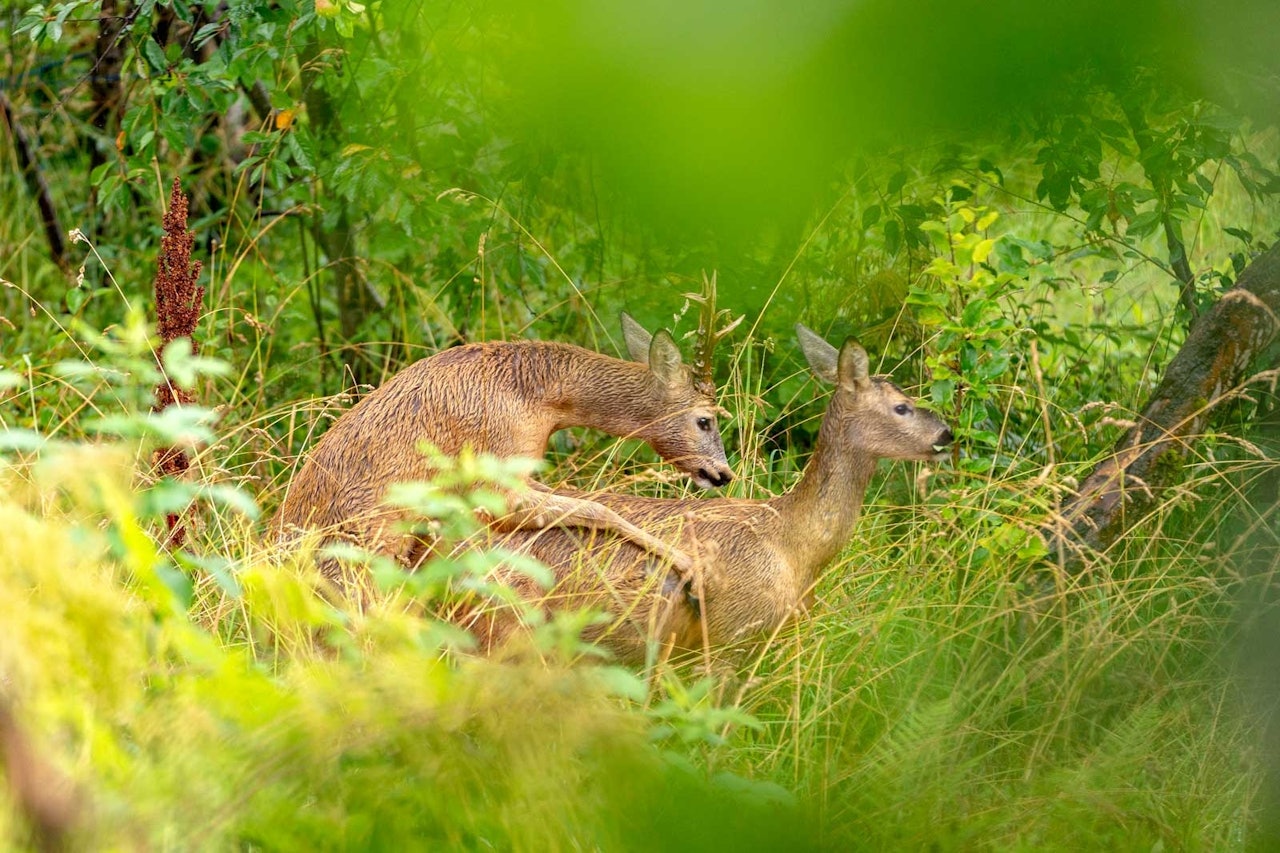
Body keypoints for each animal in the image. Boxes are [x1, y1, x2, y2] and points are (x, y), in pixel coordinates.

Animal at [273, 308, 737, 573]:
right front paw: (689, 564)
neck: (539, 399)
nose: (723, 474)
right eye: (705, 420)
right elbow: (597, 507)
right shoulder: (495, 482)